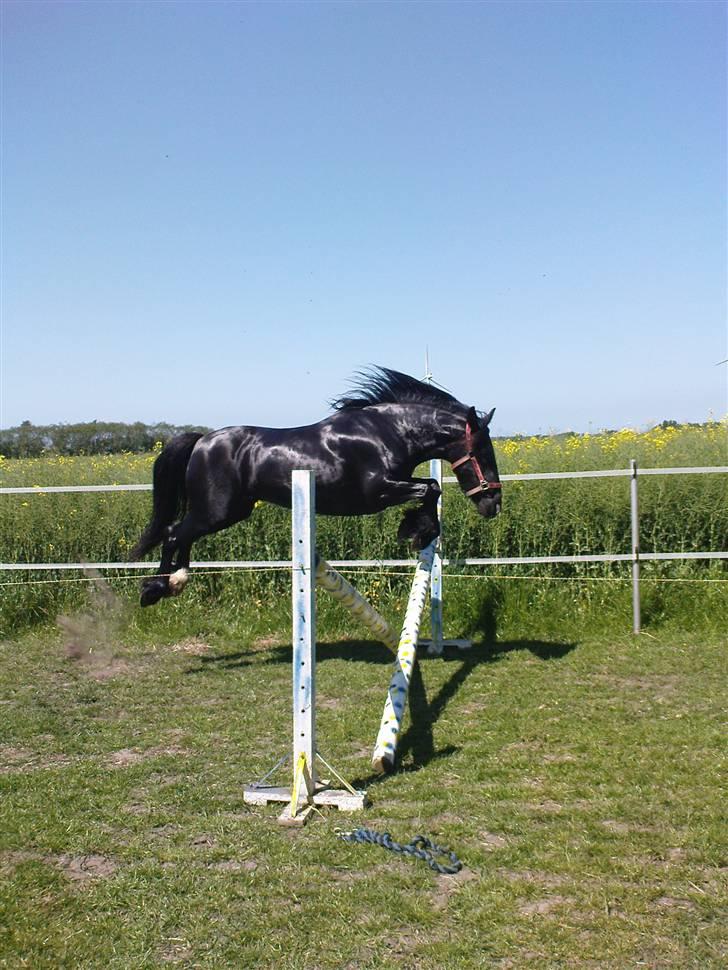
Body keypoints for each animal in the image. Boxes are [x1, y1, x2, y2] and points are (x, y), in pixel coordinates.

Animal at [131, 367, 501, 606]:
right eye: (481, 452)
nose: (493, 505)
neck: (387, 431)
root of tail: (201, 441)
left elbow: (432, 485)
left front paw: (418, 530)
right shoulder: (378, 491)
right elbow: (430, 487)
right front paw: (416, 531)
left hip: (227, 511)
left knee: (180, 536)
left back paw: (176, 581)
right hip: (217, 511)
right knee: (174, 534)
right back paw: (155, 590)